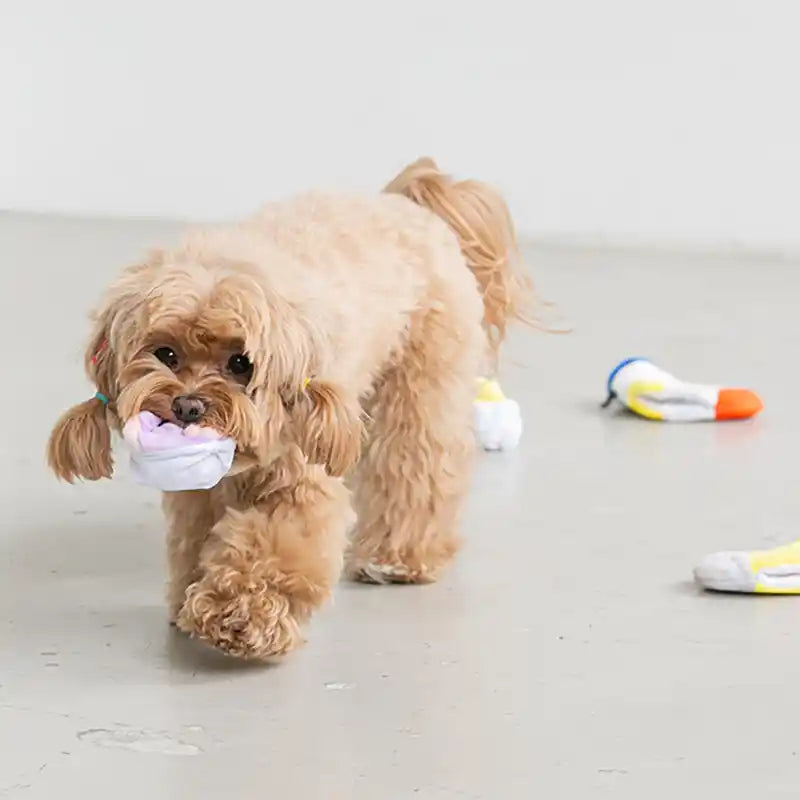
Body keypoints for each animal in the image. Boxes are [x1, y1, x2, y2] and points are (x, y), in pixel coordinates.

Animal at [45, 159, 532, 660]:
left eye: (241, 363)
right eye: (165, 354)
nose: (188, 406)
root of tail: (406, 204)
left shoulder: (300, 481)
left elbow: (274, 547)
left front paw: (239, 614)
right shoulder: (198, 493)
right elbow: (196, 537)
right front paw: (189, 598)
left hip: (422, 384)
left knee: (414, 465)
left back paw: (396, 558)